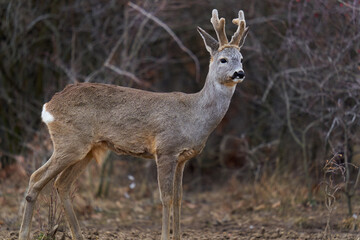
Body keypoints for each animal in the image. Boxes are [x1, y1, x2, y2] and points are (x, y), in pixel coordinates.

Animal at [19, 8, 249, 240]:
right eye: (223, 59)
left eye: (241, 58)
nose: (239, 73)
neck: (194, 115)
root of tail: (48, 106)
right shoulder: (165, 150)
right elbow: (166, 198)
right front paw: (165, 236)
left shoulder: (183, 158)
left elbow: (179, 198)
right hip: (70, 142)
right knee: (36, 178)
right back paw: (24, 233)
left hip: (88, 150)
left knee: (62, 184)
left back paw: (78, 235)